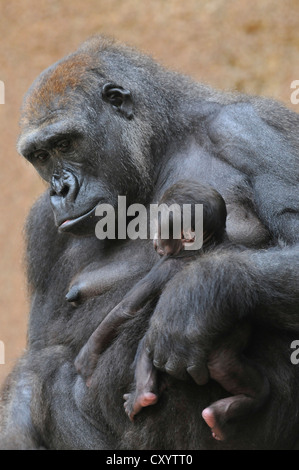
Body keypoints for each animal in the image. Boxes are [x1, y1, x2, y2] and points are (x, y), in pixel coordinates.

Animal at [69, 181, 270, 440]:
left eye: (161, 228)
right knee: (252, 384)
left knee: (146, 349)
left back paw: (142, 396)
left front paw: (88, 356)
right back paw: (227, 411)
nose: (154, 242)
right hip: (227, 361)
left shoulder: (163, 266)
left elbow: (126, 308)